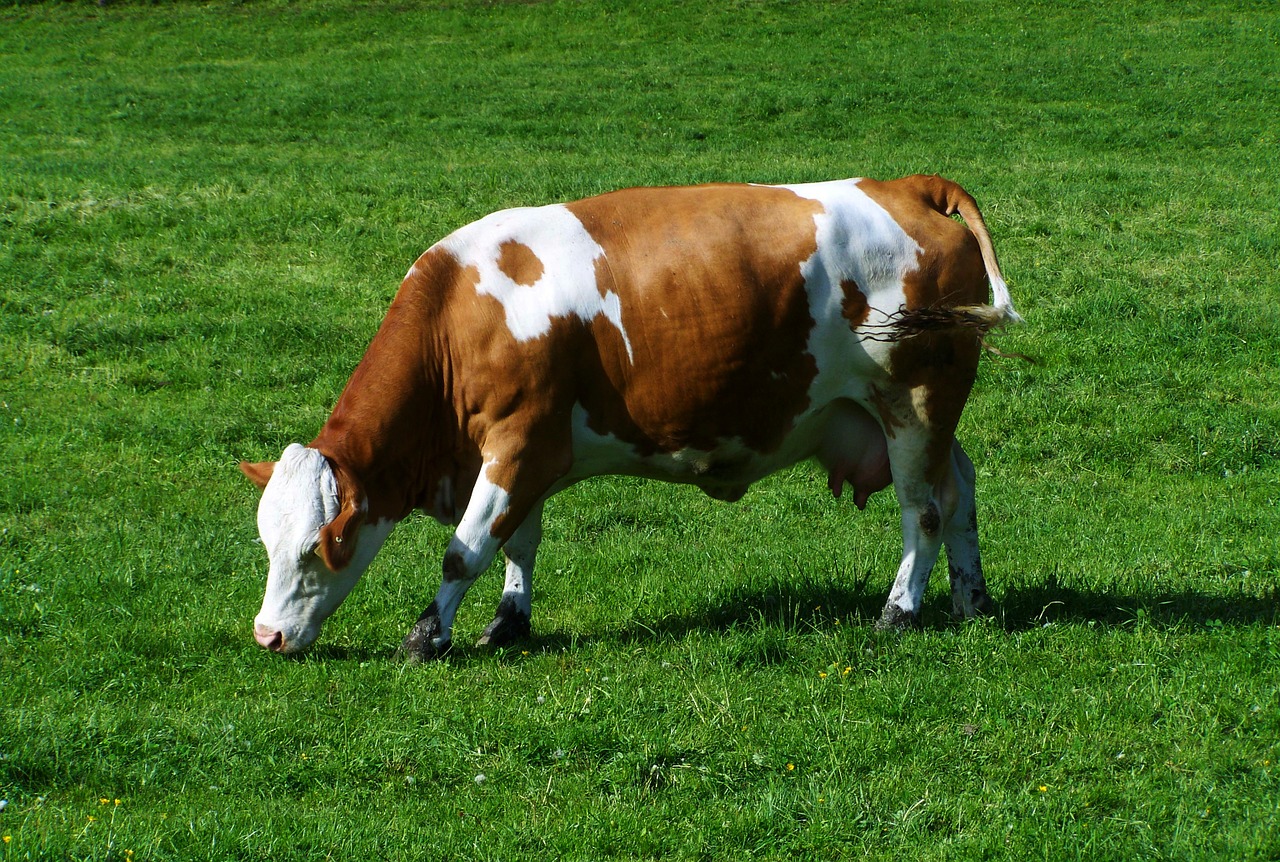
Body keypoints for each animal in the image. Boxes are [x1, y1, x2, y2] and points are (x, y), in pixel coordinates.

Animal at [240, 174, 1018, 660]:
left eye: (320, 546)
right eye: (267, 544)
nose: (266, 636)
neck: (458, 317)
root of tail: (907, 186)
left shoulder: (519, 443)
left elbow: (467, 548)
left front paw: (429, 635)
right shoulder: (525, 450)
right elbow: (518, 543)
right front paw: (508, 622)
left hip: (913, 400)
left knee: (922, 511)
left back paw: (900, 611)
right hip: (917, 414)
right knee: (960, 491)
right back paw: (971, 598)